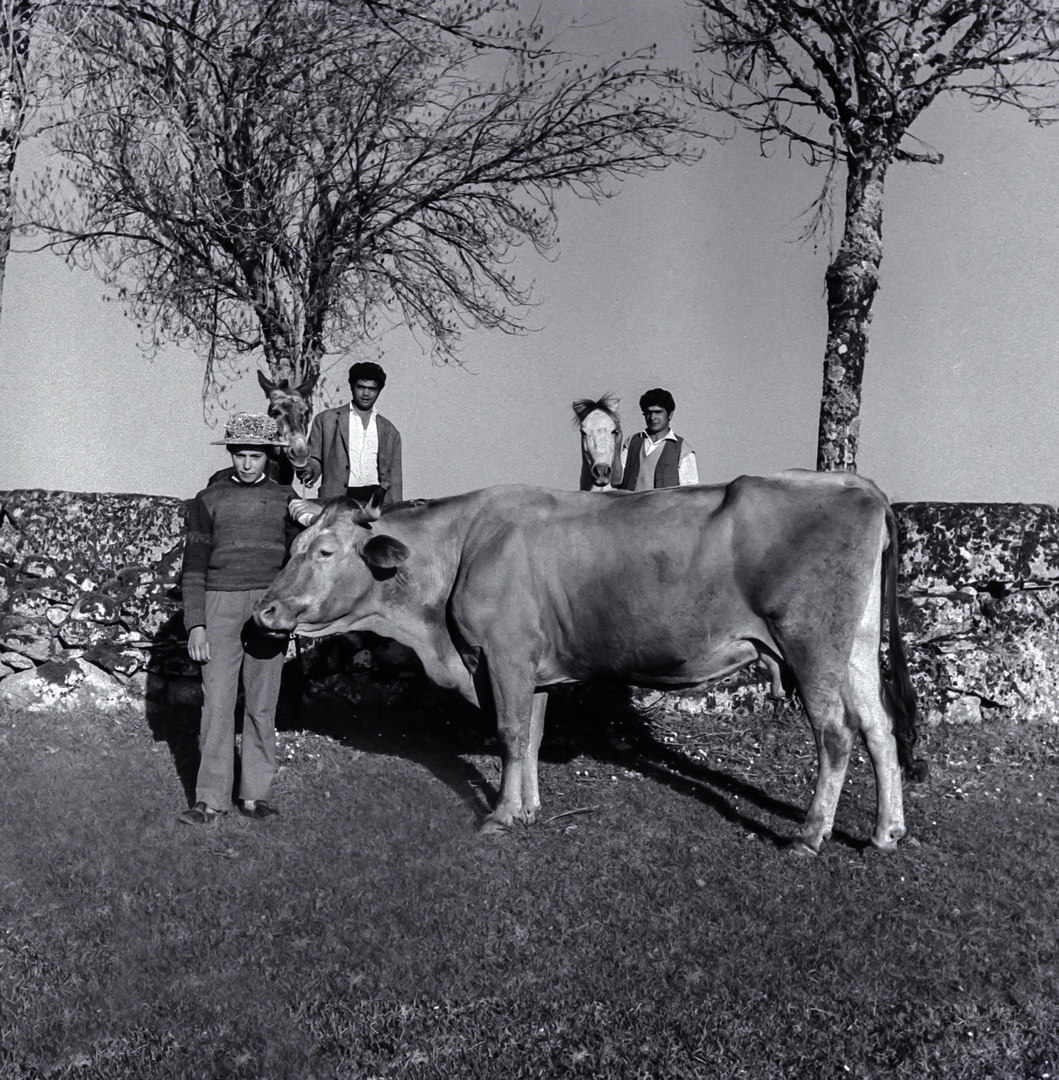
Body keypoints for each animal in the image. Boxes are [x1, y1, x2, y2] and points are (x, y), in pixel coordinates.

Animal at [255, 477, 924, 855]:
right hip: (855, 648)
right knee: (880, 729)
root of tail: (858, 485)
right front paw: (526, 808)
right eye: (291, 548)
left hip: (811, 647)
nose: (264, 609)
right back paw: (886, 833)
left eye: (325, 551)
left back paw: (810, 836)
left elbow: (509, 733)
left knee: (836, 735)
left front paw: (500, 816)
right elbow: (531, 736)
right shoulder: (533, 667)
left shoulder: (504, 656)